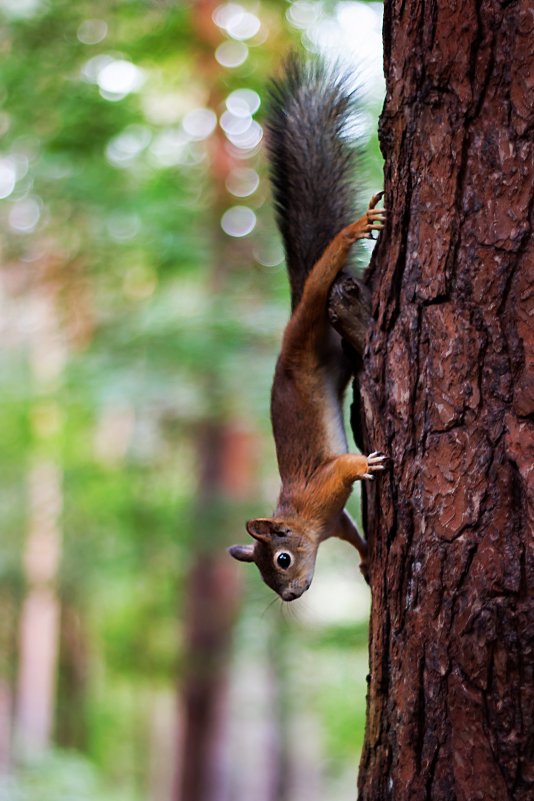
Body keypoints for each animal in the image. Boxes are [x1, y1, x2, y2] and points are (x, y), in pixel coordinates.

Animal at [228, 56, 388, 600]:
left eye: (281, 558)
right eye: (263, 573)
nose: (292, 595)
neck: (302, 519)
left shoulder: (326, 484)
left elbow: (346, 466)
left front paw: (368, 465)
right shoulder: (336, 521)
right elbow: (356, 535)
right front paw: (367, 561)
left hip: (309, 317)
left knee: (324, 274)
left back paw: (357, 228)